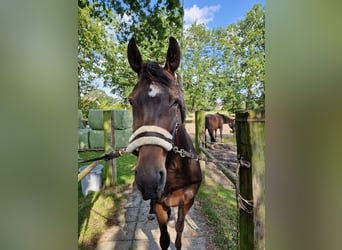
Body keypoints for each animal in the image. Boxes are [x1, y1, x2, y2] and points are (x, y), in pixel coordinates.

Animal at [126, 36, 202, 249]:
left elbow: (179, 229)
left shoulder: (187, 201)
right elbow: (164, 238)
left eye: (175, 101)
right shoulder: (160, 203)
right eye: (131, 101)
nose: (148, 180)